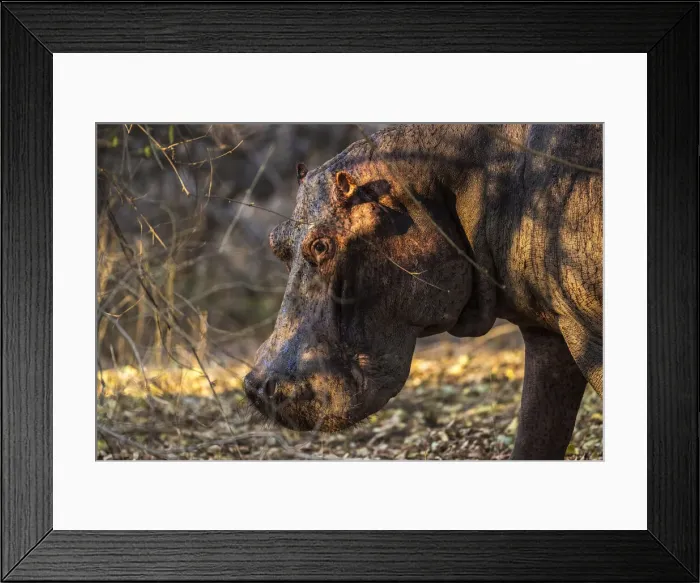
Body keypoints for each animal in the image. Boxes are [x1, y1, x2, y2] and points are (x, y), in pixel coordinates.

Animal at [244, 124, 602, 460]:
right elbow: (535, 430)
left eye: (320, 245)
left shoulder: (588, 333)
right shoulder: (548, 332)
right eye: (276, 241)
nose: (256, 386)